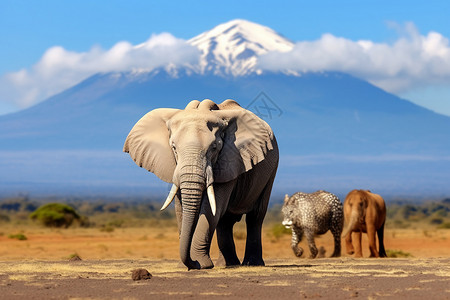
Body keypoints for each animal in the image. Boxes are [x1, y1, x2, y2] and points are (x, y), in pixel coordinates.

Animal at [124, 98, 278, 270]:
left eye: (214, 148)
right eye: (174, 147)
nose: (193, 264)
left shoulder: (231, 160)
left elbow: (212, 207)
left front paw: (202, 264)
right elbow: (180, 208)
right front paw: (185, 266)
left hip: (272, 169)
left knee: (255, 216)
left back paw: (252, 264)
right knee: (225, 222)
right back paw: (228, 264)